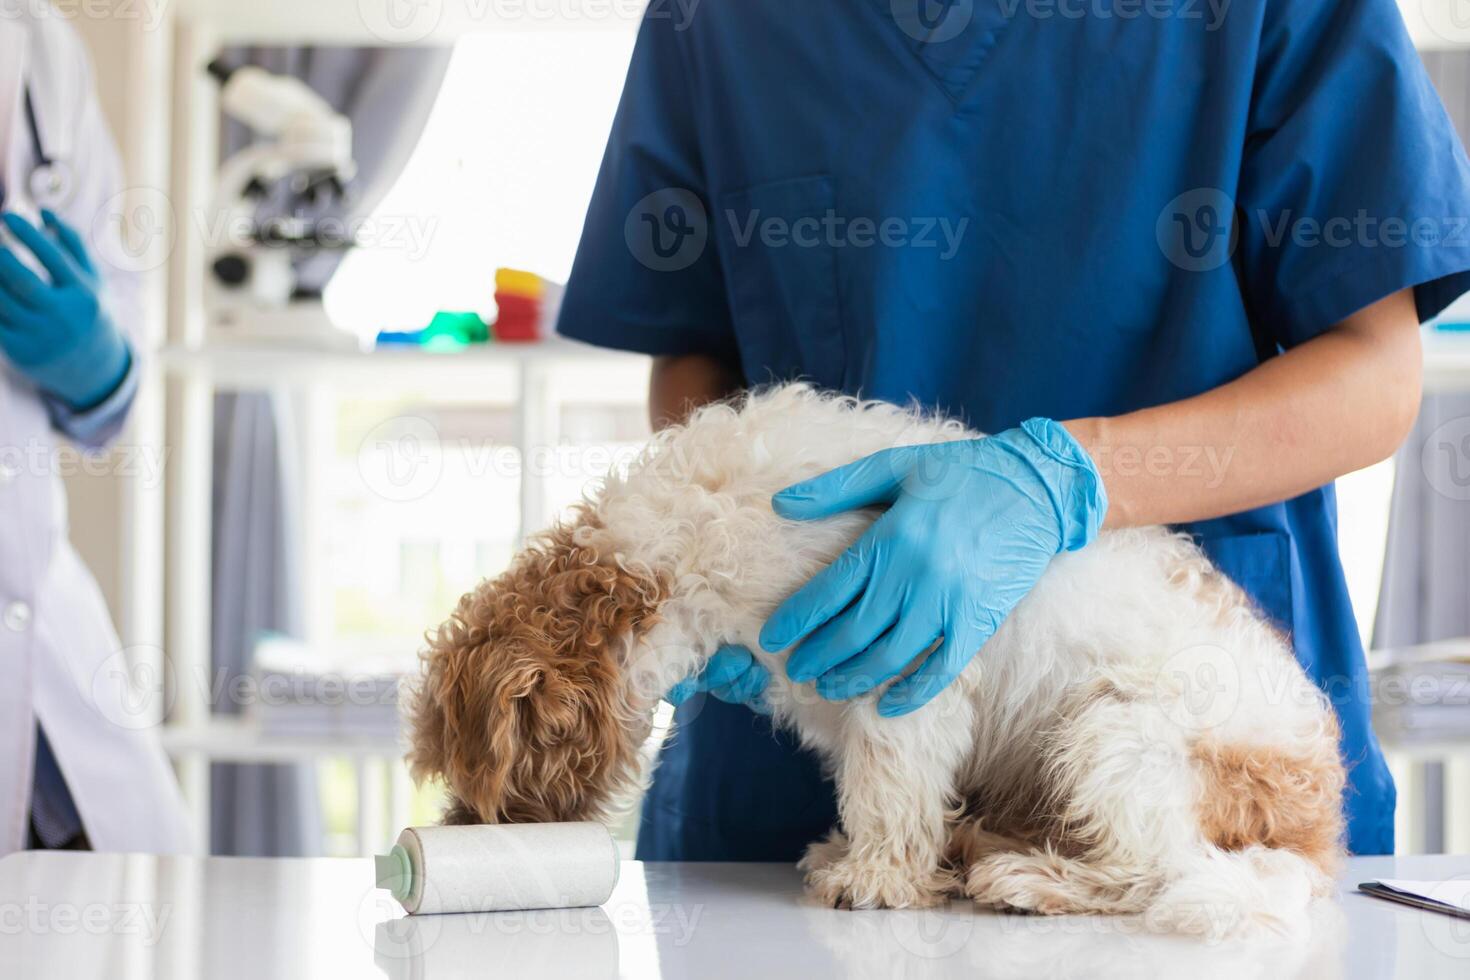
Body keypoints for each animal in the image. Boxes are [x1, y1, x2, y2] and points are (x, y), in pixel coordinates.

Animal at [408, 382, 1346, 940]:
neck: (668, 556)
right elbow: (873, 788)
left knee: (1146, 874)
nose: (448, 834)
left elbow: (889, 790)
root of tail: (1317, 832)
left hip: (1115, 736)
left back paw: (1028, 880)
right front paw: (864, 858)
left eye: (487, 790)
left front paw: (875, 879)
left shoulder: (904, 675)